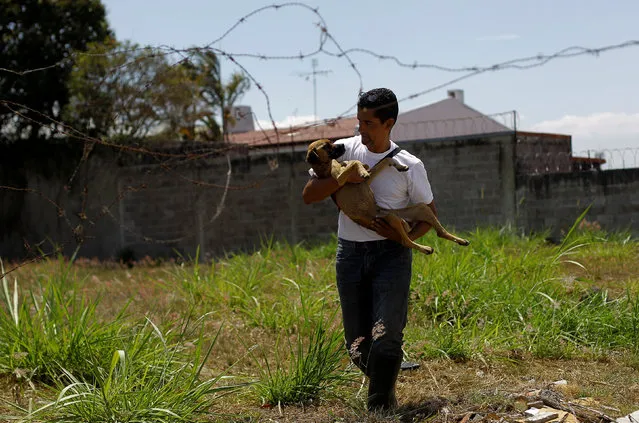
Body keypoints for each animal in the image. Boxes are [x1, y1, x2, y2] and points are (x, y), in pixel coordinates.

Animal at [304, 139, 470, 255]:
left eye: (331, 142)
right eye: (326, 146)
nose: (343, 145)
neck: (325, 167)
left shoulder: (364, 181)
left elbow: (384, 160)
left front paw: (400, 166)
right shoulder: (339, 179)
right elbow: (355, 162)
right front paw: (362, 169)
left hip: (417, 209)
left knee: (438, 231)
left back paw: (461, 241)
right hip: (391, 218)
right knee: (405, 241)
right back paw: (425, 249)